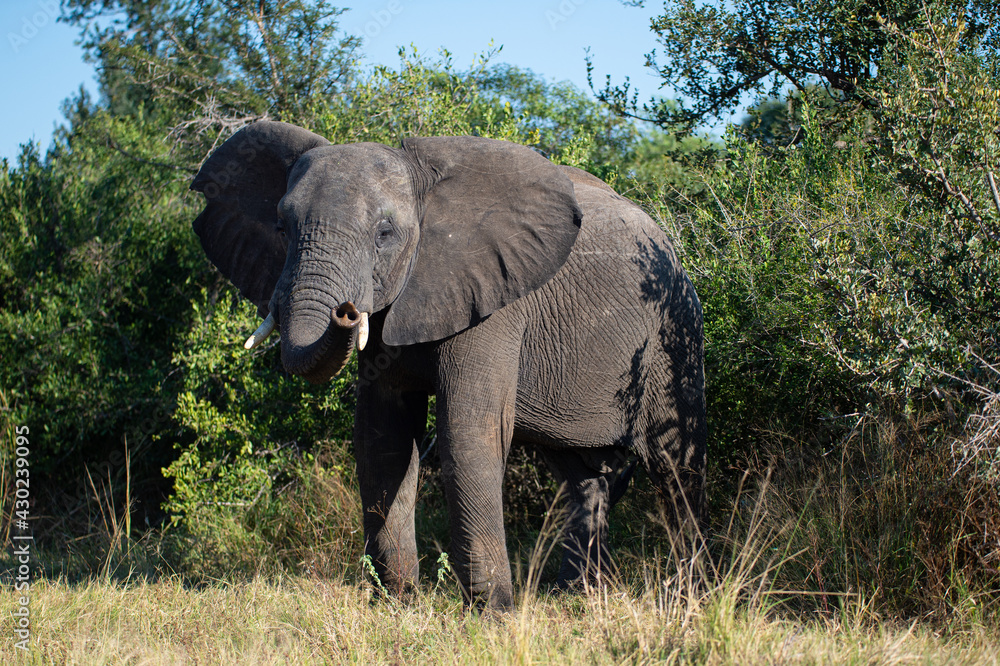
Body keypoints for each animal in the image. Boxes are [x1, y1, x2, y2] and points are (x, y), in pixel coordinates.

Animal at [190, 121, 707, 611]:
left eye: (384, 234)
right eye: (281, 228)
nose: (347, 311)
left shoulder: (492, 300)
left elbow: (466, 434)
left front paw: (493, 615)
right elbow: (383, 438)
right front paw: (396, 603)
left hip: (673, 330)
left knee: (677, 467)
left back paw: (696, 596)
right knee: (582, 478)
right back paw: (575, 597)